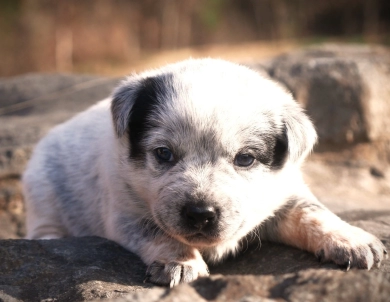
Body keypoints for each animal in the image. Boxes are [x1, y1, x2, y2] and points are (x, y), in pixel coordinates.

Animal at [23, 58, 386, 286]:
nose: (200, 214)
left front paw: (352, 240)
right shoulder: (124, 210)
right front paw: (181, 263)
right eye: (164, 154)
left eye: (245, 159)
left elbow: (313, 213)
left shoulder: (285, 193)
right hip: (42, 187)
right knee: (44, 226)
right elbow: (158, 232)